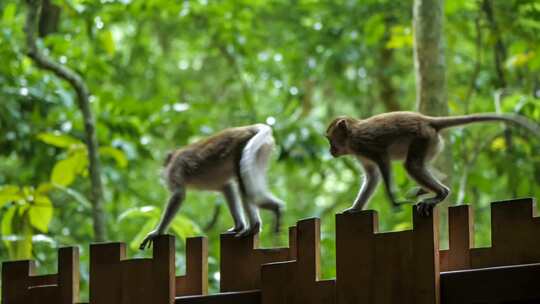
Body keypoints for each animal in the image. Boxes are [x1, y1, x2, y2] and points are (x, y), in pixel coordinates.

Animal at [139, 123, 284, 249]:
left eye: (165, 167)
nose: (162, 174)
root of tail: (247, 128)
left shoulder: (176, 167)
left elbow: (177, 195)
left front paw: (157, 233)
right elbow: (226, 187)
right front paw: (239, 226)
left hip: (243, 145)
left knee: (243, 184)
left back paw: (255, 224)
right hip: (262, 150)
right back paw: (268, 212)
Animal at [324, 111, 540, 216]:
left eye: (330, 139)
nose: (330, 150)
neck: (352, 135)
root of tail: (427, 120)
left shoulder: (364, 145)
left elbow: (383, 163)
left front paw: (393, 200)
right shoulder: (360, 153)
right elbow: (372, 175)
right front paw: (355, 209)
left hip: (422, 137)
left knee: (411, 165)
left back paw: (440, 193)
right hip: (432, 142)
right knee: (420, 165)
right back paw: (428, 188)